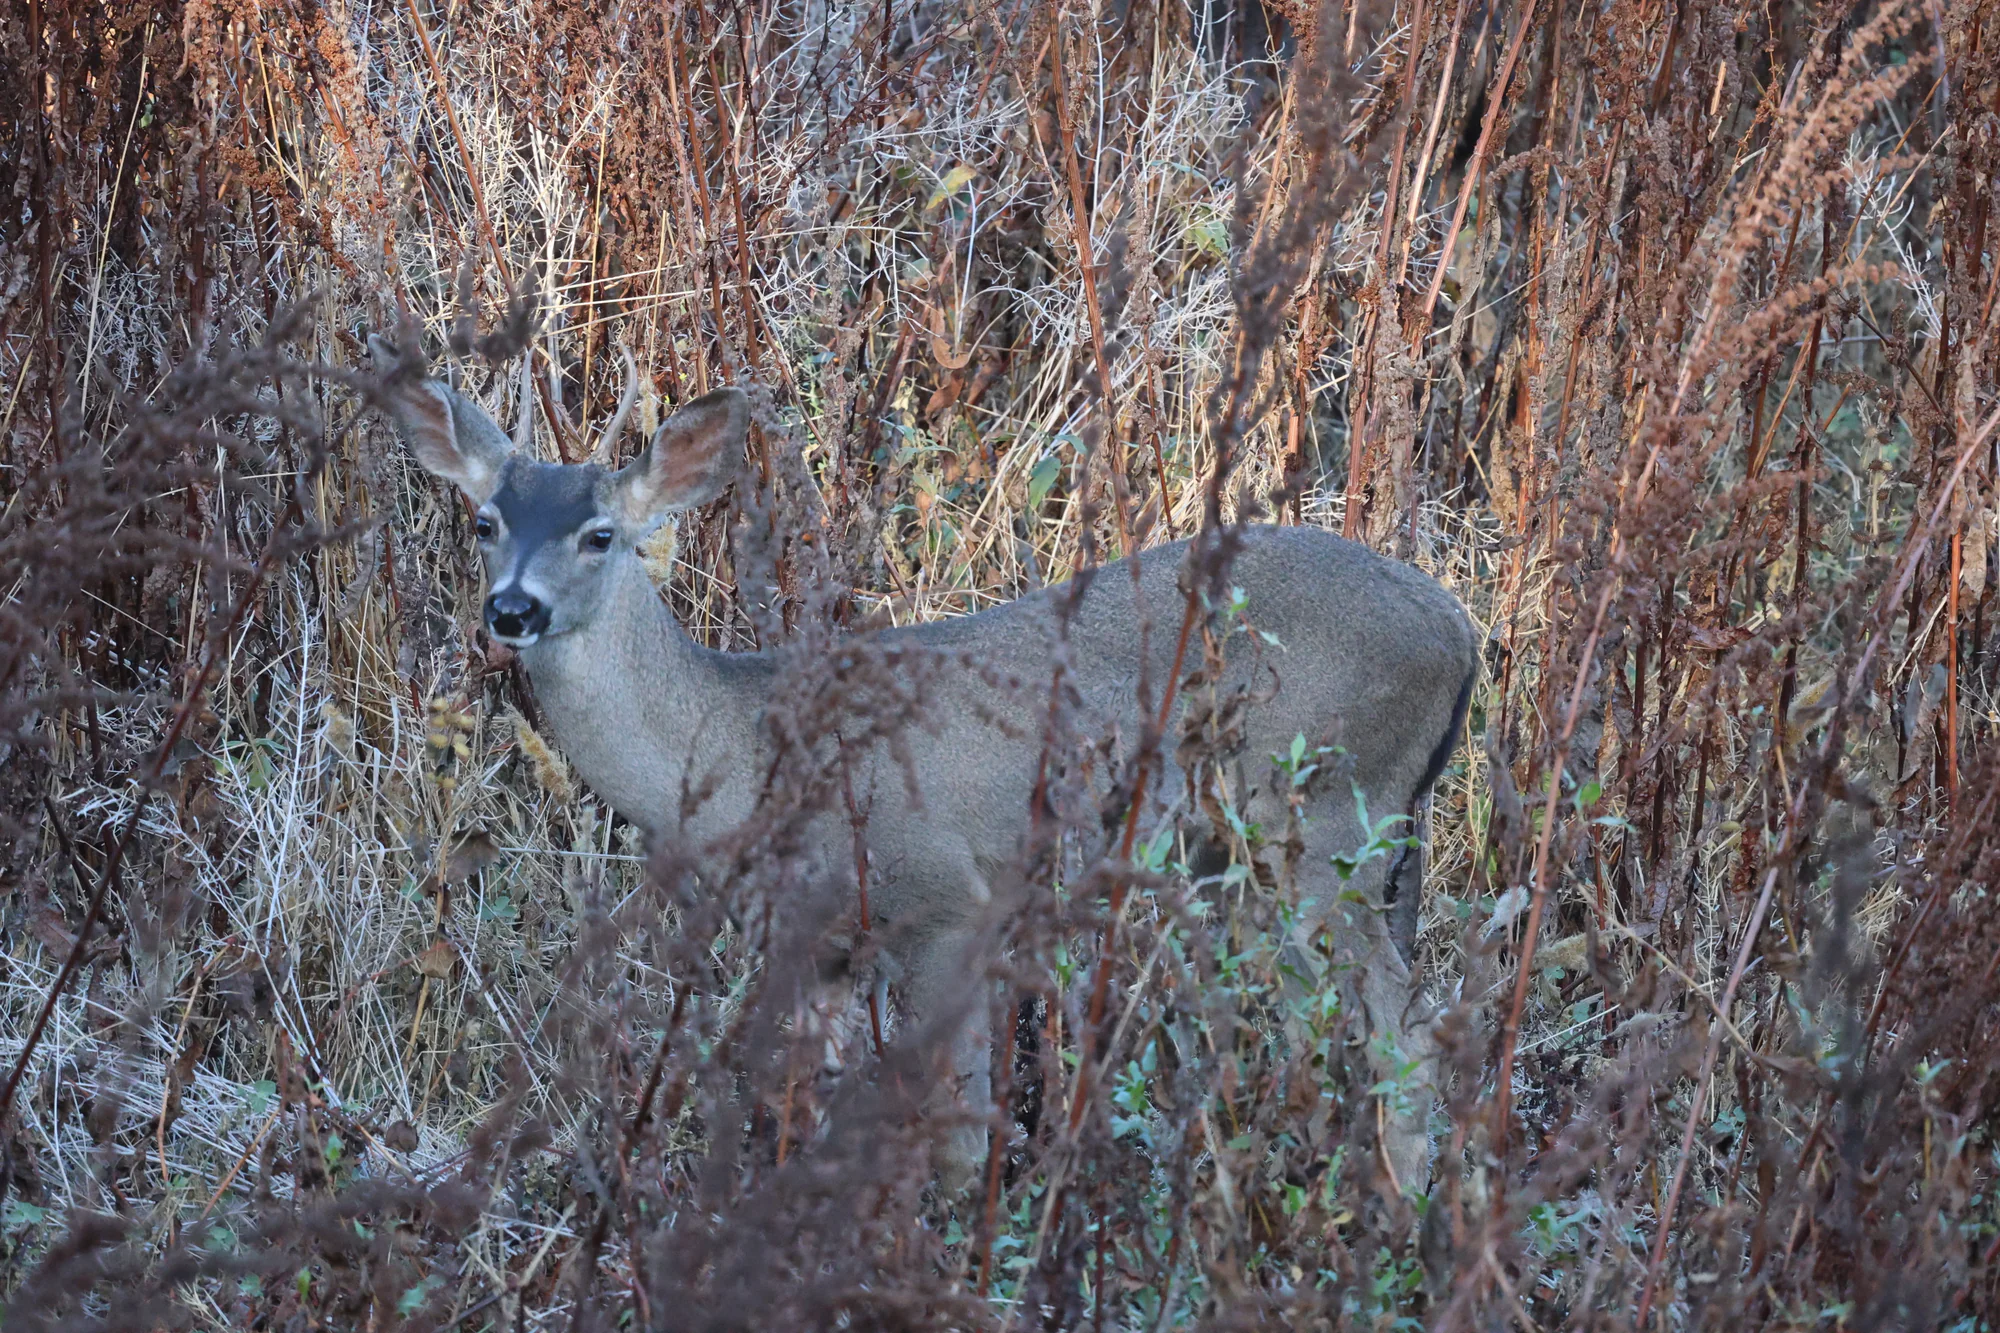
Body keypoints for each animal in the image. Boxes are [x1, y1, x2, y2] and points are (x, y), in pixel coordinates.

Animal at [368, 335, 1478, 1198]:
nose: (513, 608)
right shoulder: (818, 945)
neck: (742, 746)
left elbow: (953, 1132)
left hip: (1323, 819)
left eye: (600, 533)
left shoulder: (946, 895)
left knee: (1402, 1029)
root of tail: (1464, 634)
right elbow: (803, 1108)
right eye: (484, 522)